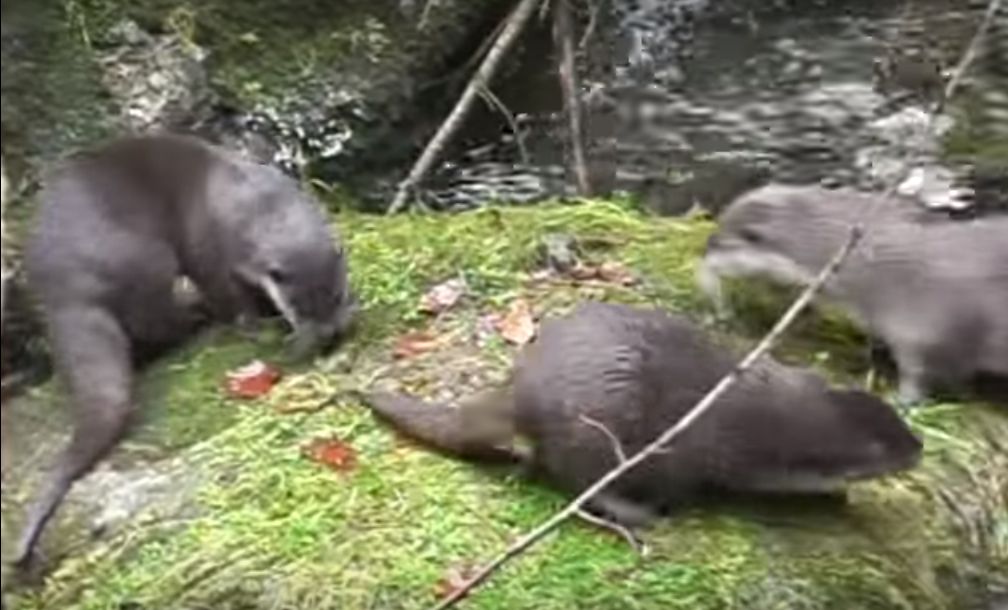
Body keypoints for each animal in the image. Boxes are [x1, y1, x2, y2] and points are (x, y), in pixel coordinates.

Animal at [13, 132, 356, 564]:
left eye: (336, 294)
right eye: (301, 308)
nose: (329, 334)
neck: (252, 202)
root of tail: (66, 288)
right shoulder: (214, 252)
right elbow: (229, 297)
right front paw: (254, 325)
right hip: (147, 258)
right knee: (156, 319)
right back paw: (196, 317)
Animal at [362, 300, 923, 524]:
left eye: (900, 423)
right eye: (890, 445)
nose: (920, 447)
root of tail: (523, 389)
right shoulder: (744, 453)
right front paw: (831, 492)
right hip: (597, 433)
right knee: (578, 481)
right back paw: (638, 512)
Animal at [701, 183, 1008, 407]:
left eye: (718, 242)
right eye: (712, 231)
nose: (703, 255)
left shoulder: (929, 334)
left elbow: (925, 376)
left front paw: (900, 401)